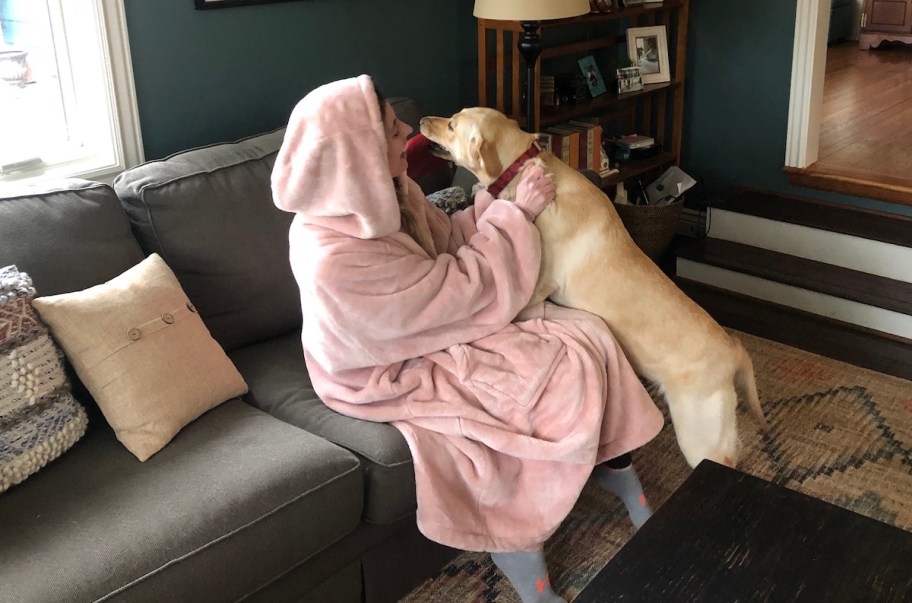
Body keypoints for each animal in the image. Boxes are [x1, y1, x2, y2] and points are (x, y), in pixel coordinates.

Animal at [424, 107, 764, 468]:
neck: (522, 168)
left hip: (699, 434)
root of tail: (733, 350)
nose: (421, 121)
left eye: (451, 125)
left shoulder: (537, 288)